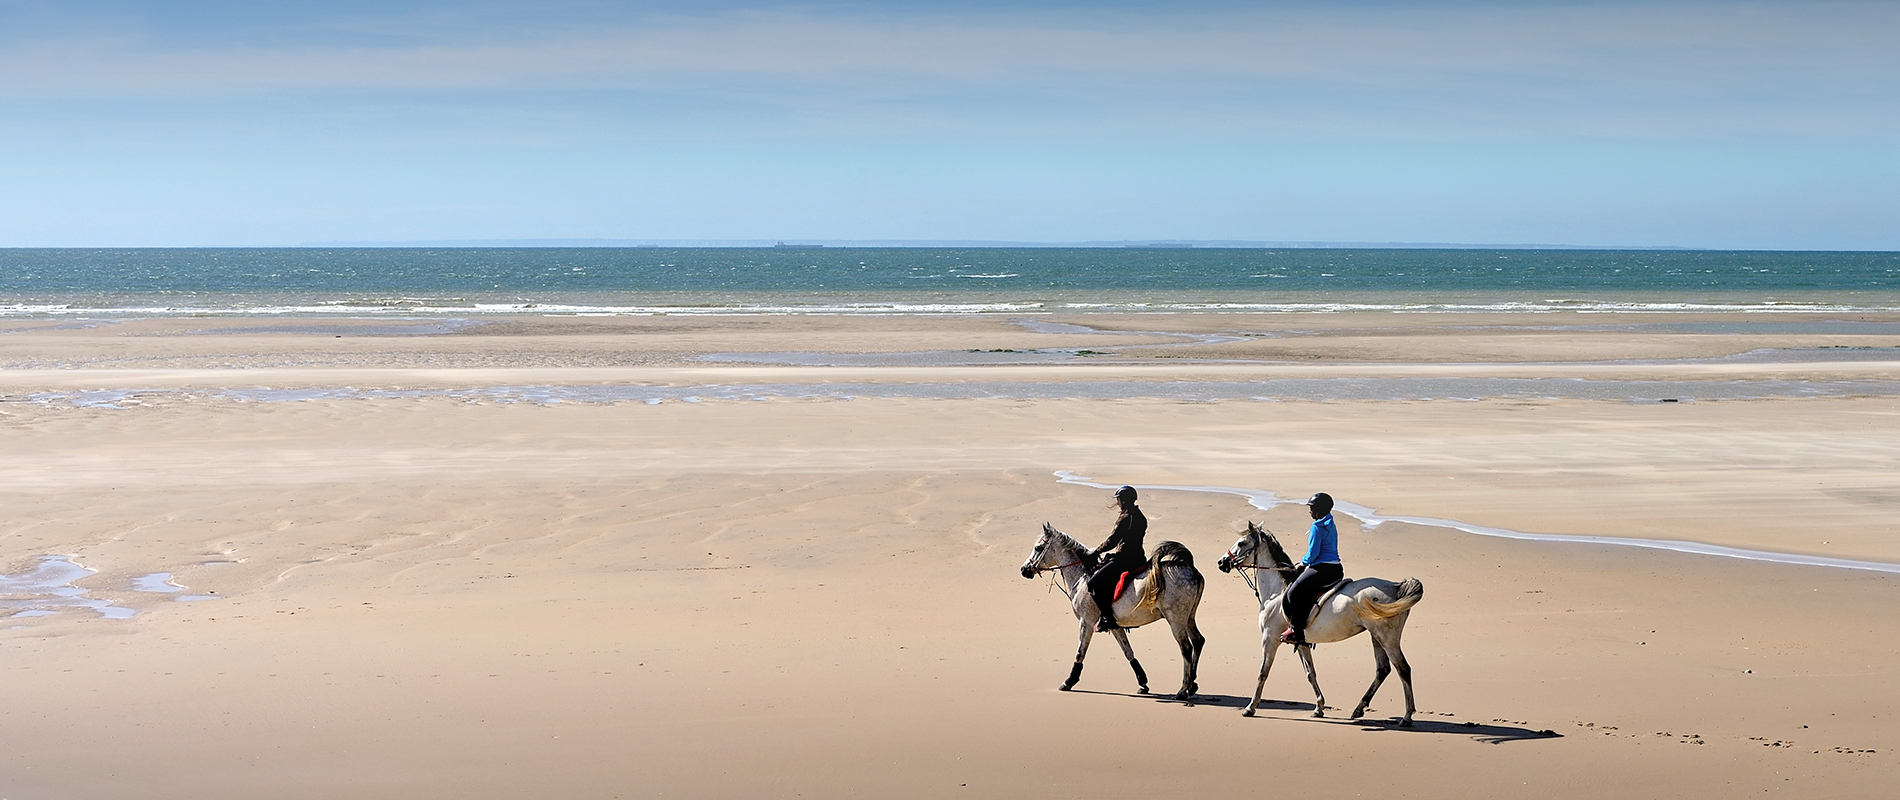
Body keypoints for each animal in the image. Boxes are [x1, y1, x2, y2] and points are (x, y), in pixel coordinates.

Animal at [1216, 516, 1428, 722]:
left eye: (1241, 543)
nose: (1221, 562)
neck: (1277, 592)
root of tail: (1395, 586)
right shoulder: (1301, 641)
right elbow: (1311, 674)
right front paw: (1319, 708)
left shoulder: (1269, 639)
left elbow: (1262, 673)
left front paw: (1250, 707)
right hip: (1376, 636)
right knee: (1382, 670)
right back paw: (1359, 709)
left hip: (1387, 637)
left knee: (1403, 668)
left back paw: (1407, 716)